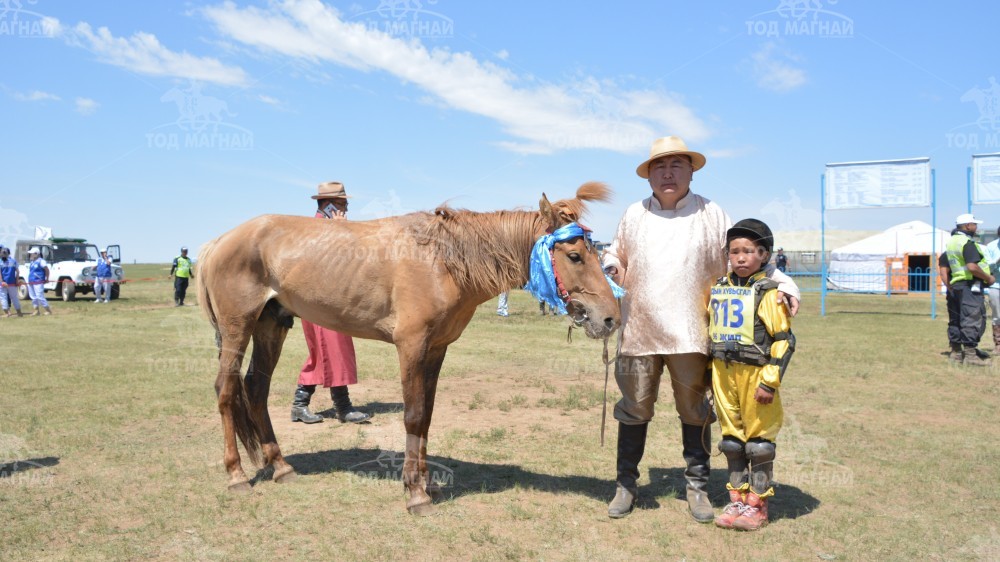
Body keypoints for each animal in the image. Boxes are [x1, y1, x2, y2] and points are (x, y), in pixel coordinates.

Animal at [199, 182, 620, 516]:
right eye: (575, 256)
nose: (611, 318)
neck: (443, 261)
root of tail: (218, 242)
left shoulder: (435, 350)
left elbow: (427, 416)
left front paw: (426, 483)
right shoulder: (411, 346)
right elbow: (414, 416)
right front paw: (415, 494)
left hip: (271, 326)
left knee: (255, 389)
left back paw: (281, 467)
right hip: (238, 328)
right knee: (226, 391)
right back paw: (236, 475)